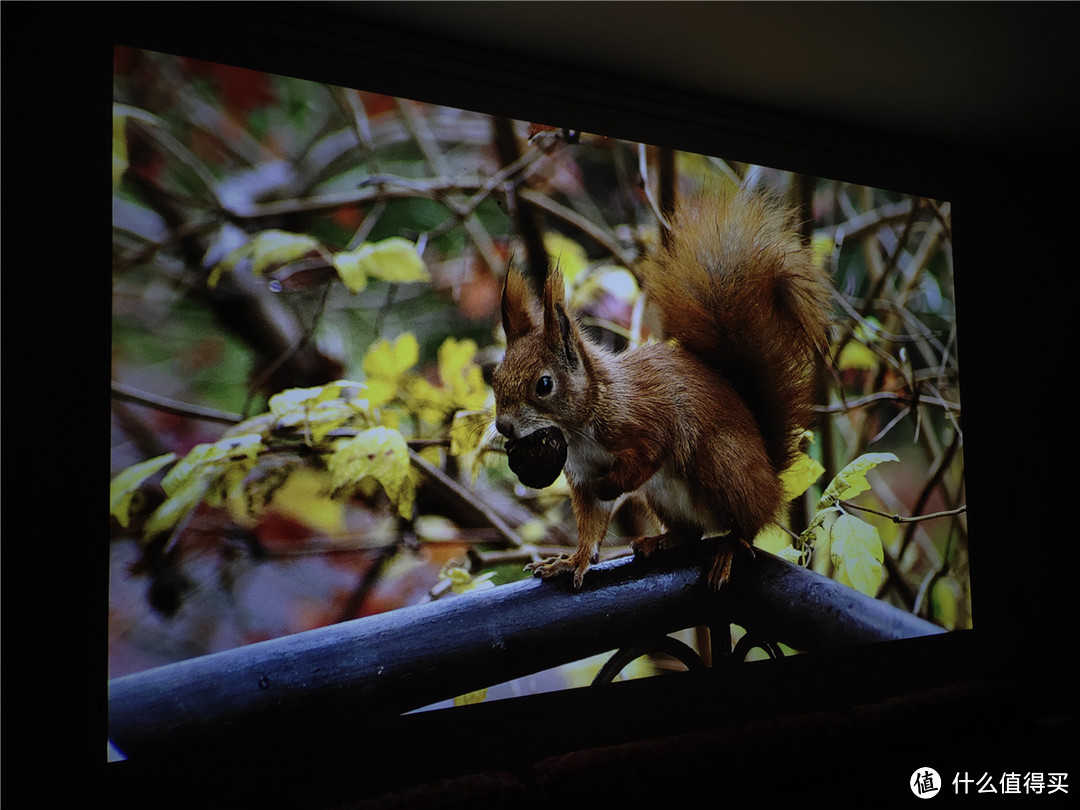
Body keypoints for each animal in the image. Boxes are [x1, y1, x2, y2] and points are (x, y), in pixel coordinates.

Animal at [494, 191, 829, 591]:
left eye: (544, 384)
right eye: (495, 377)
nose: (503, 427)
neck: (582, 426)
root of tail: (770, 479)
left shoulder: (646, 420)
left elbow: (648, 456)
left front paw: (611, 486)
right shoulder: (581, 476)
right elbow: (591, 524)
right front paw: (571, 561)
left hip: (723, 464)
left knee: (746, 524)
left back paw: (730, 547)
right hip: (666, 497)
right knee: (692, 532)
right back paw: (662, 540)